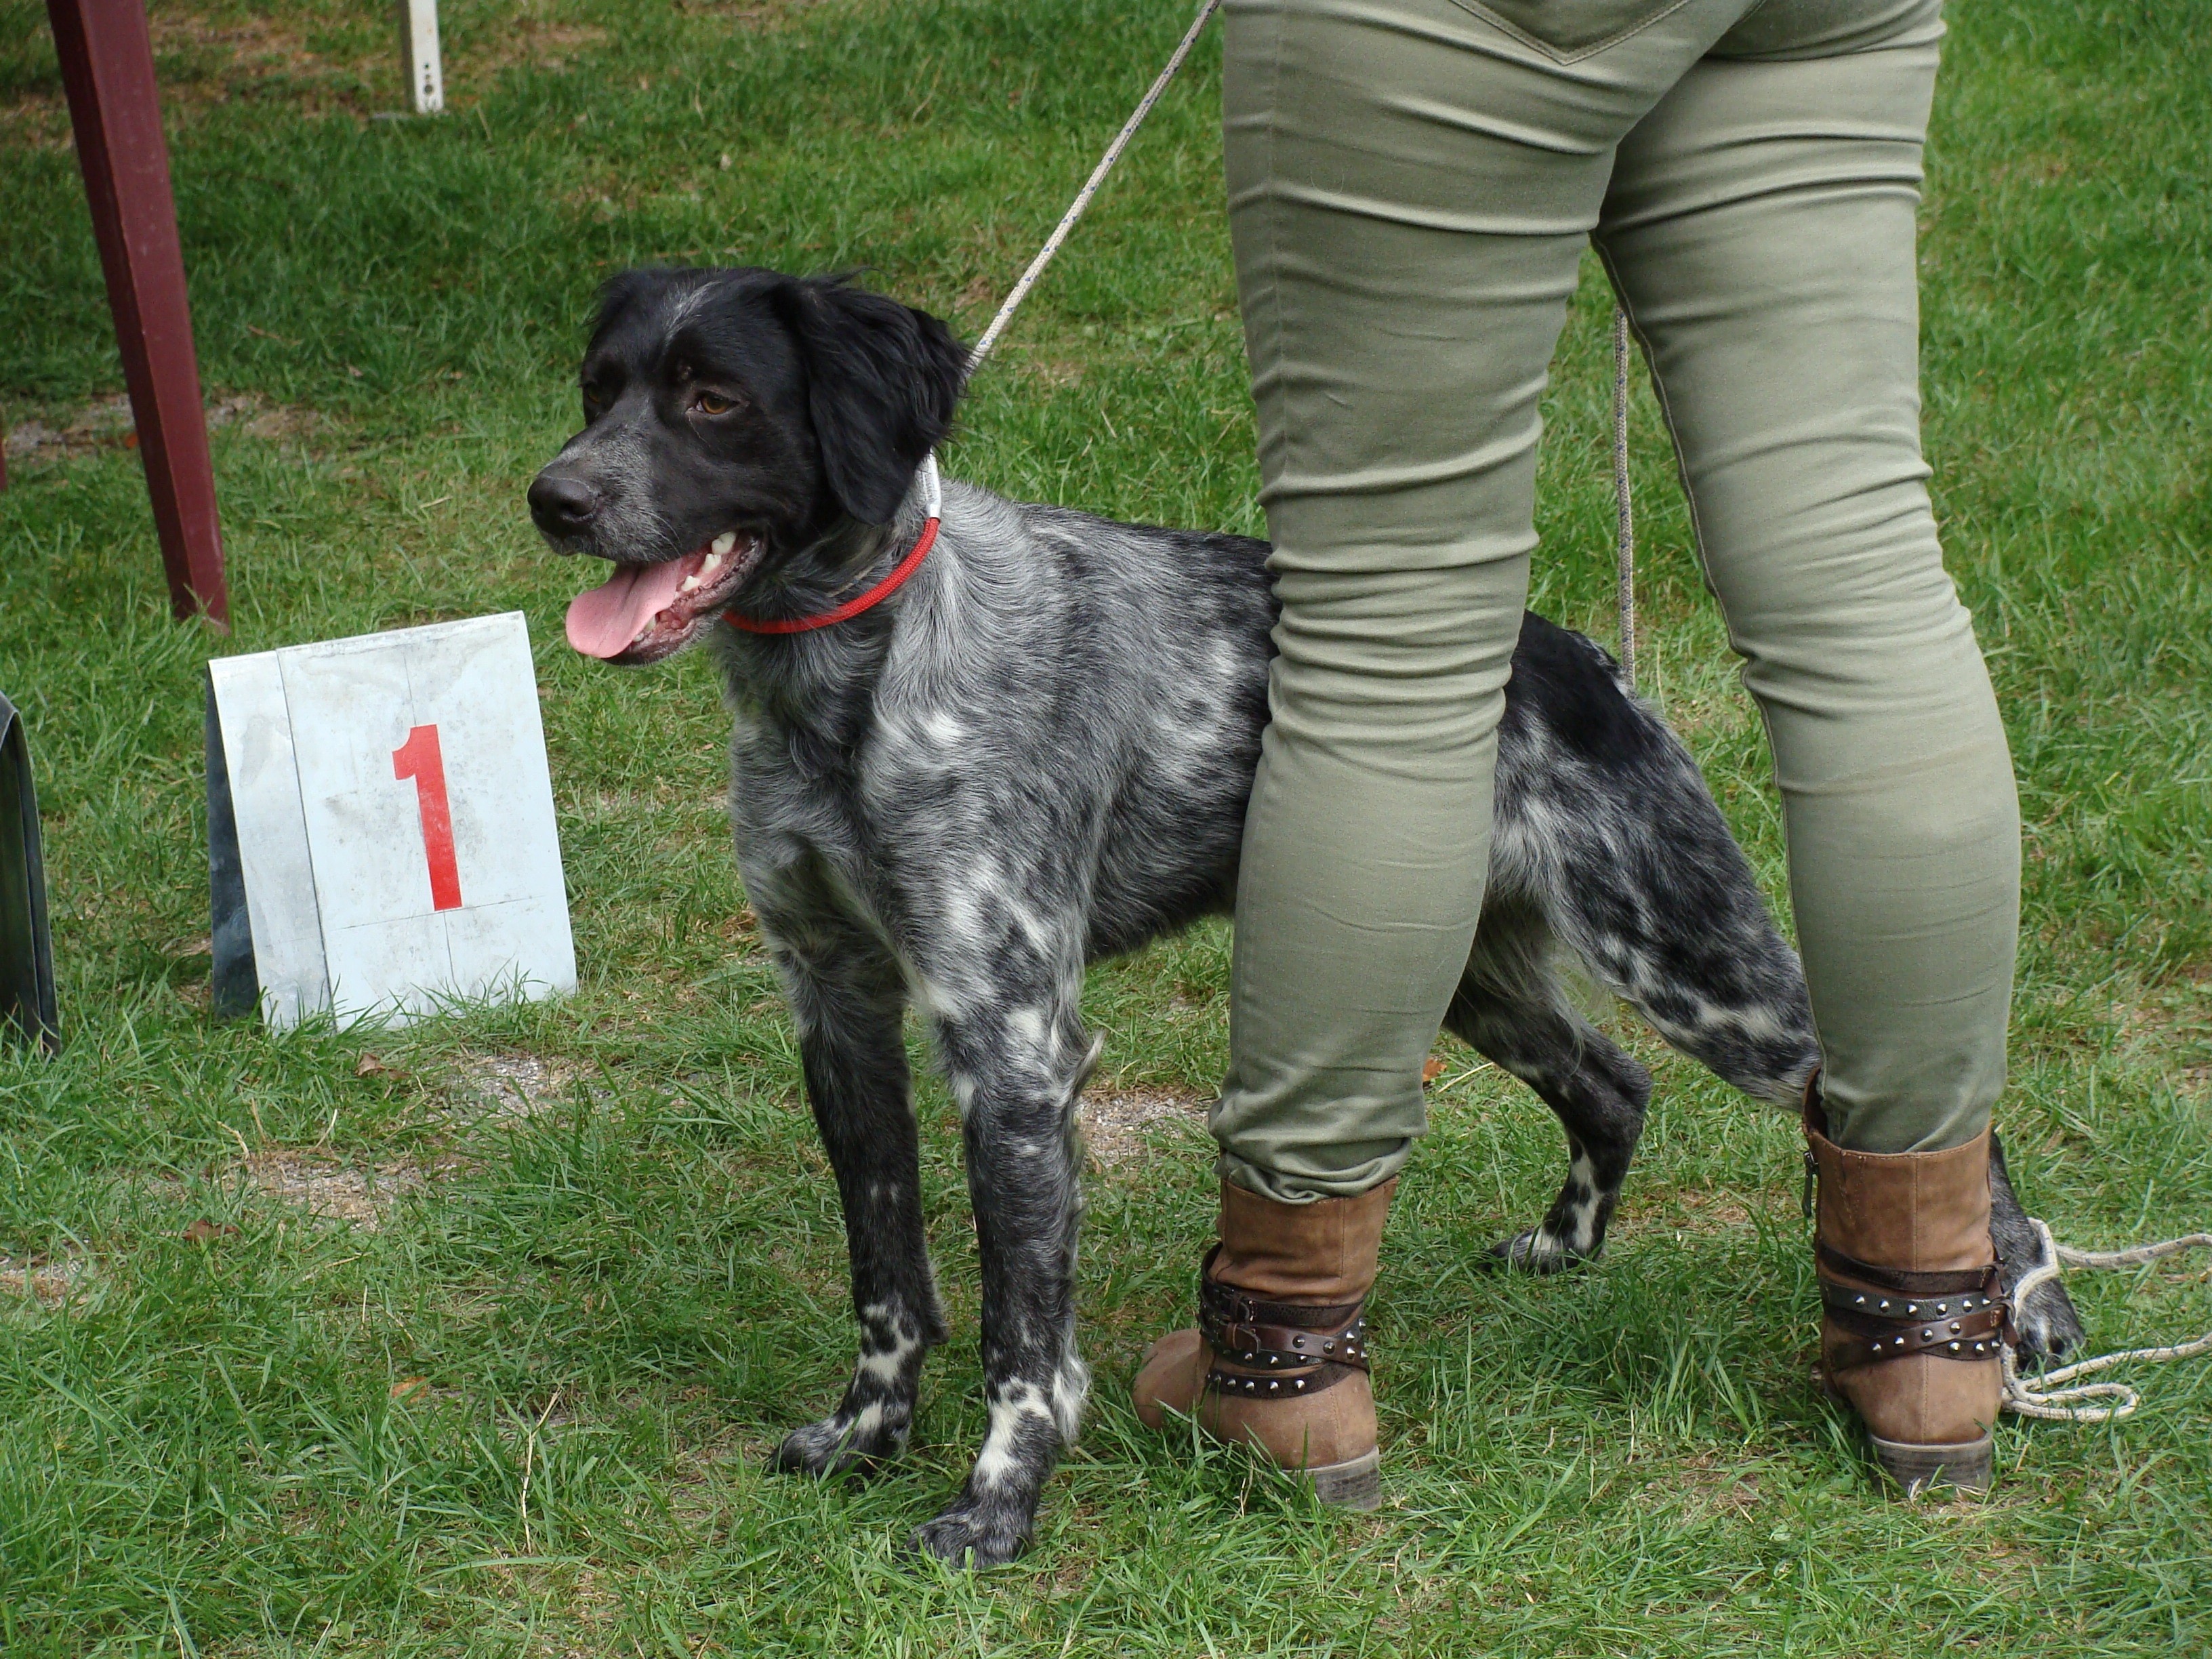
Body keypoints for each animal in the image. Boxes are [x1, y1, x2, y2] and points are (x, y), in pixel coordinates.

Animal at [526, 270, 2079, 1574]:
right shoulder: (837, 1008)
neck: (854, 686)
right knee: (1613, 1084)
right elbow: (888, 1283)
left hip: (1693, 959)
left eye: (712, 397)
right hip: (1467, 976)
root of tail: (1579, 655)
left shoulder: (1012, 1046)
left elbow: (1023, 1337)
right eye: (597, 386)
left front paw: (995, 1509)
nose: (554, 497)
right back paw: (1566, 1251)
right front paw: (864, 1439)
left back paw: (2022, 1319)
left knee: (1904, 1101)